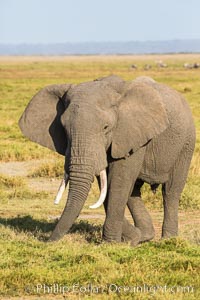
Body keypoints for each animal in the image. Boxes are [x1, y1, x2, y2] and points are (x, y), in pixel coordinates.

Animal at [18, 74, 195, 244]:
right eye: (64, 128)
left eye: (106, 127)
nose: (47, 241)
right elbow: (107, 184)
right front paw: (130, 239)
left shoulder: (129, 132)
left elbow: (118, 181)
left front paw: (111, 243)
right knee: (134, 191)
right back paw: (144, 236)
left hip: (186, 144)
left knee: (171, 191)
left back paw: (168, 239)